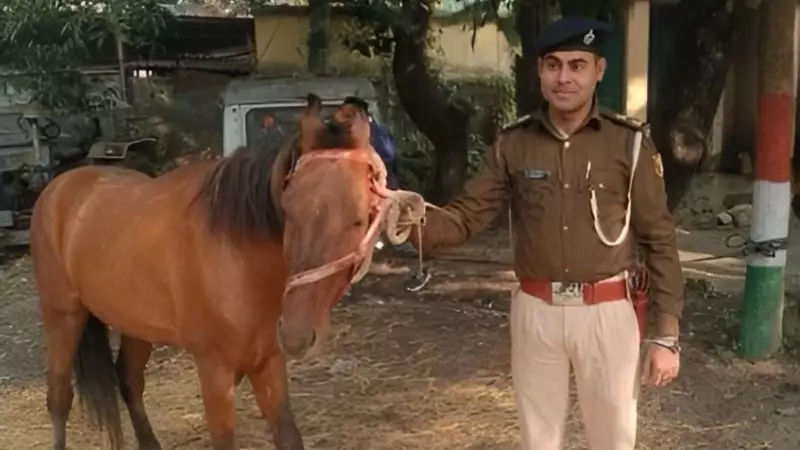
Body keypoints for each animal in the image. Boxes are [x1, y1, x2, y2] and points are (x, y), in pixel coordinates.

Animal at [30, 92, 421, 450]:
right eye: (288, 211)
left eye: (358, 219)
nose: (296, 335)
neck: (239, 259)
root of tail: (59, 186)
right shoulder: (215, 372)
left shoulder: (268, 362)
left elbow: (288, 436)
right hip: (63, 316)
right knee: (59, 397)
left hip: (134, 323)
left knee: (128, 381)